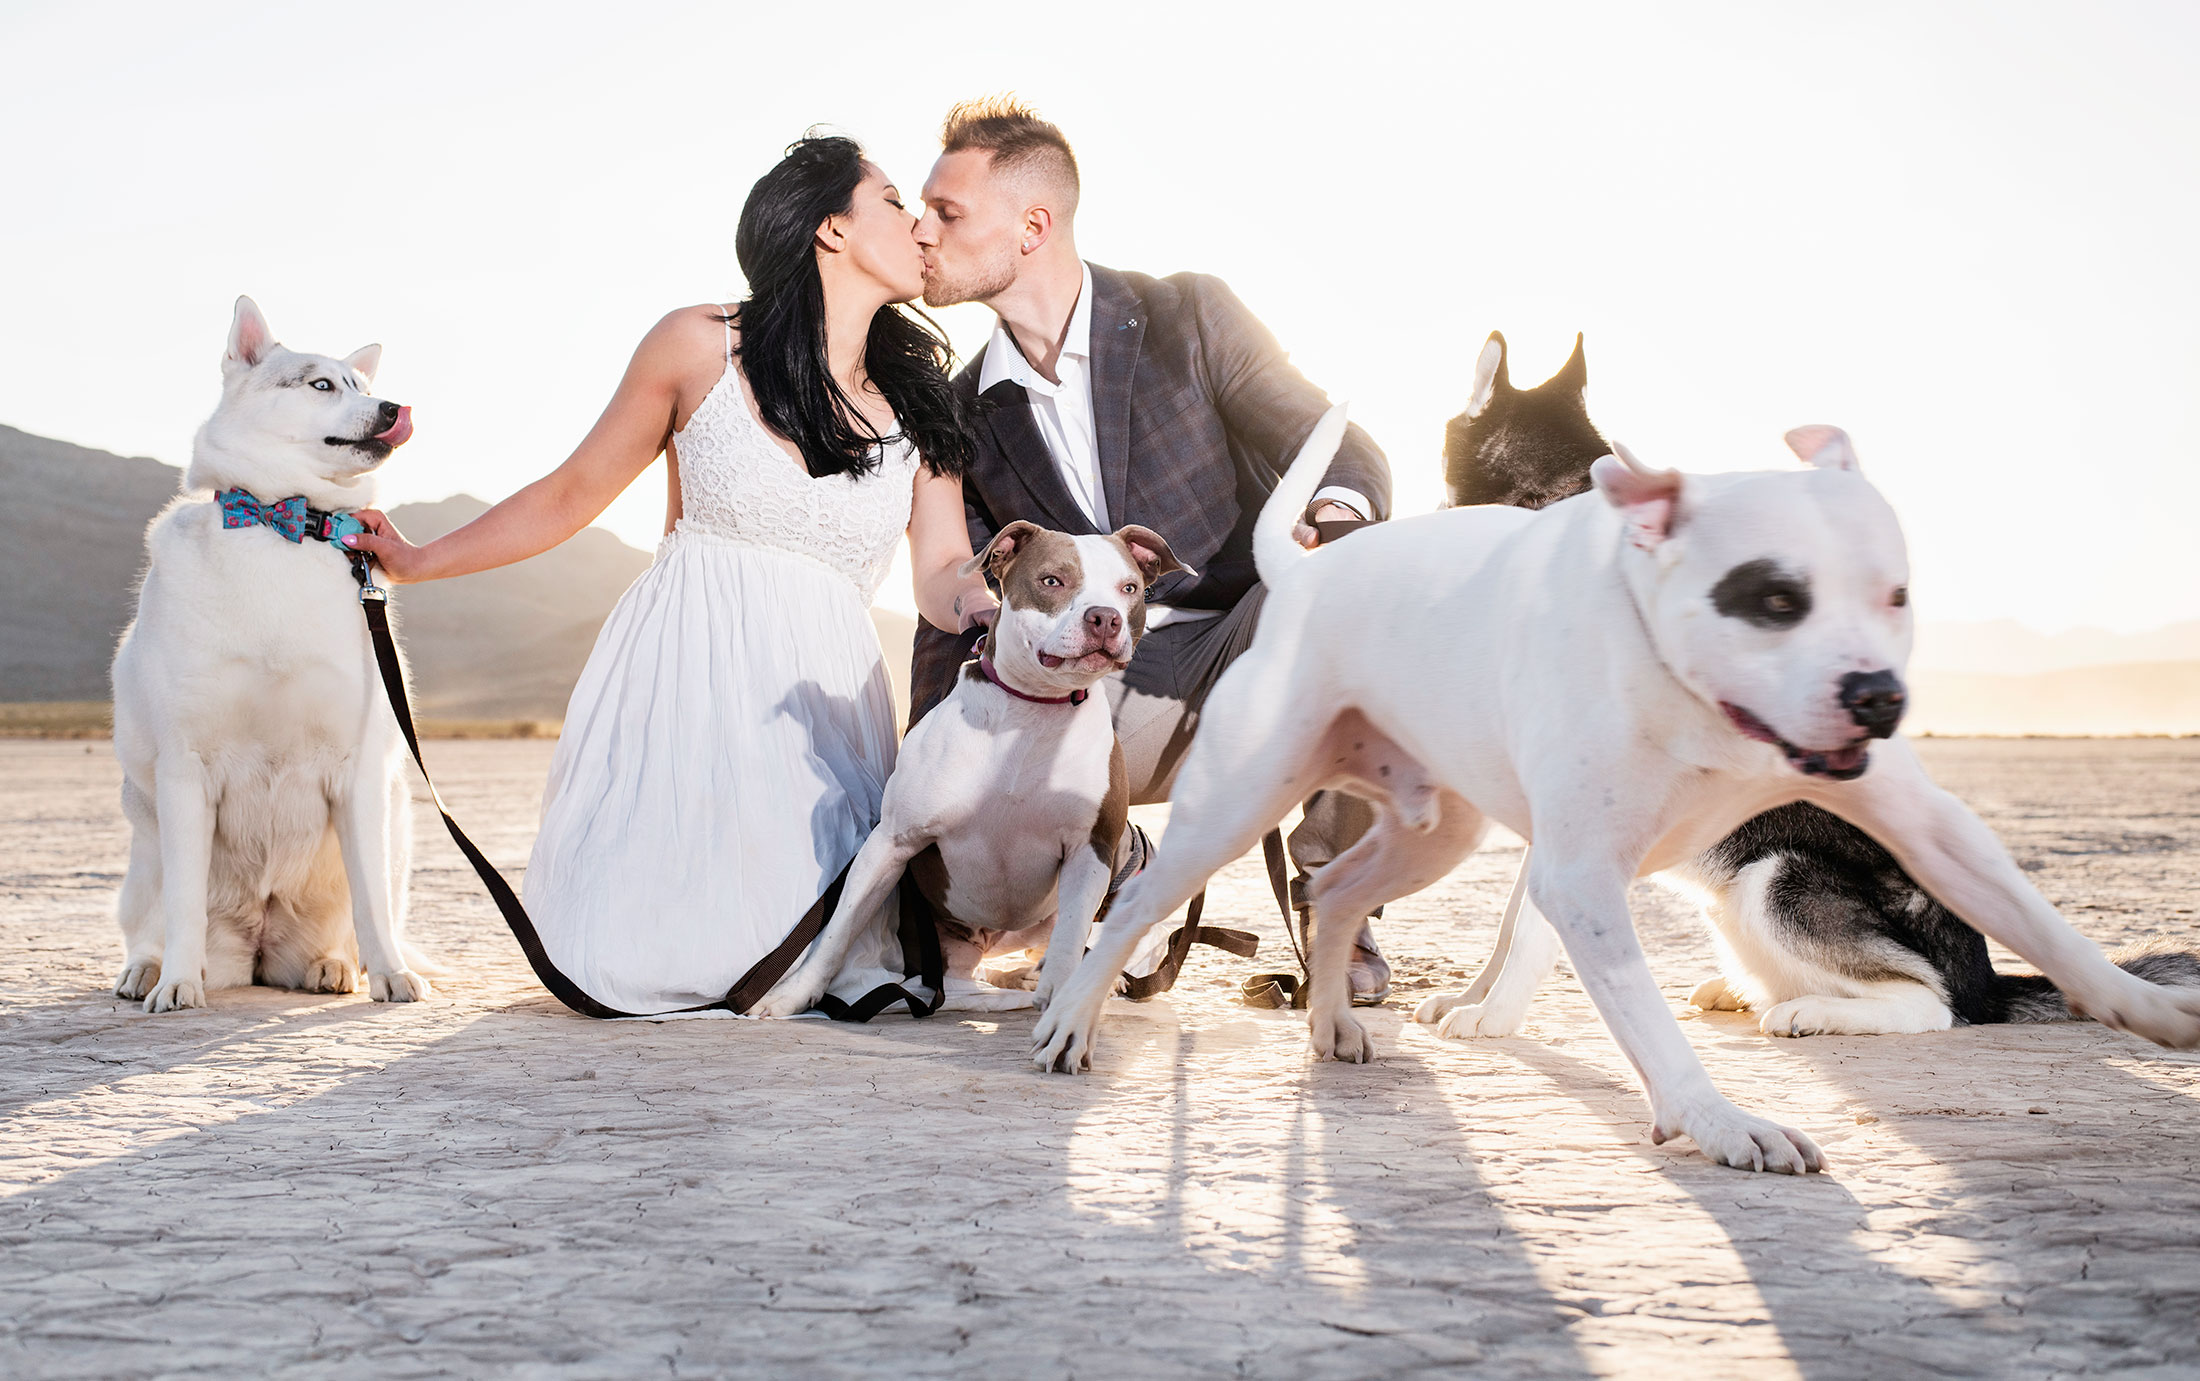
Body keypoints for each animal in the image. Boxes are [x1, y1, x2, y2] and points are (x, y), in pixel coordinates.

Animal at [112, 299, 433, 1015]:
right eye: (322, 385)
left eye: (363, 385)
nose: (393, 407)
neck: (284, 525)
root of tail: (259, 949)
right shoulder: (185, 768)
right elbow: (182, 905)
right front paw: (178, 983)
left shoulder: (359, 768)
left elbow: (371, 902)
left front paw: (390, 974)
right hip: (143, 859)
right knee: (154, 922)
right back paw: (150, 970)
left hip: (396, 822)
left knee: (364, 913)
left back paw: (336, 965)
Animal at [761, 518, 1205, 1015]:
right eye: (1052, 581)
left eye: (1130, 589)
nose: (1105, 617)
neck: (1031, 712)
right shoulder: (891, 841)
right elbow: (839, 930)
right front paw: (791, 995)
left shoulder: (1090, 848)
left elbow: (1071, 937)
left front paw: (1063, 999)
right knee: (963, 984)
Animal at [1025, 404, 2200, 1169]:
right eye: (1772, 596)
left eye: (1895, 594)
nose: (1875, 695)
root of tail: (1310, 569)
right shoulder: (1577, 870)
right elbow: (1615, 1005)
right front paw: (1720, 1121)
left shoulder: (1931, 825)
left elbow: (2049, 926)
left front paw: (2148, 1007)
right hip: (1238, 806)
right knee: (1141, 901)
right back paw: (1071, 1025)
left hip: (1480, 837)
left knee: (1336, 887)